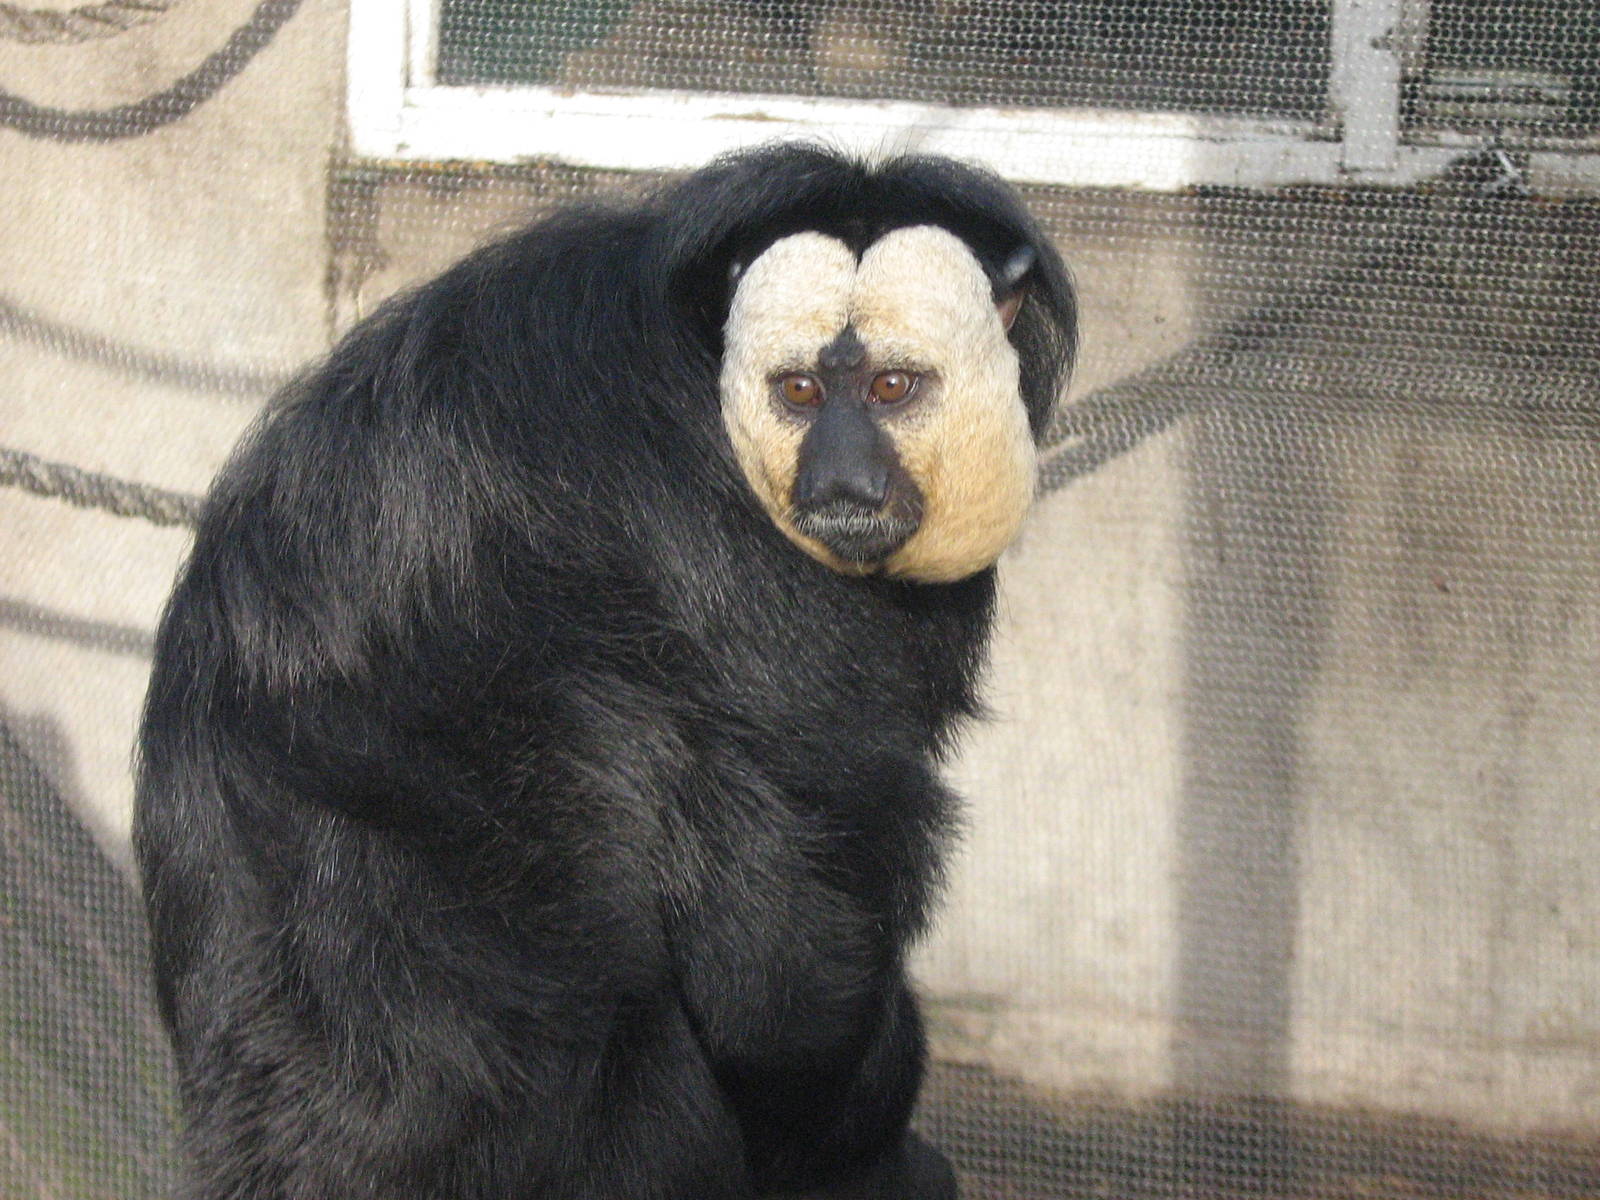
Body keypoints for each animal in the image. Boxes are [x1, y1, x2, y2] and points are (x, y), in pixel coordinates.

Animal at [134, 143, 1075, 1200]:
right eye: (798, 392)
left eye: (890, 389)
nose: (843, 481)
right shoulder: (708, 541)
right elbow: (780, 950)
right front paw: (859, 1127)